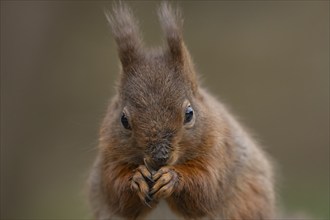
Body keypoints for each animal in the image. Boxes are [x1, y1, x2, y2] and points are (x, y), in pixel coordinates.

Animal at [88, 2, 276, 220]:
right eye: (123, 120)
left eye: (189, 113)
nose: (160, 158)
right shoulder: (109, 155)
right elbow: (114, 188)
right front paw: (137, 178)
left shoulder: (220, 151)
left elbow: (206, 185)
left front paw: (172, 178)